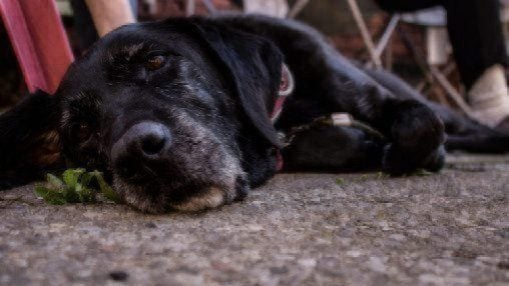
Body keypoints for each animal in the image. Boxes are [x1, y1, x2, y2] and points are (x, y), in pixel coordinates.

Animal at [0, 15, 508, 212]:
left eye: (156, 61)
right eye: (82, 128)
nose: (136, 153)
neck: (285, 114)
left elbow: (420, 125)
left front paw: (401, 154)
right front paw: (362, 147)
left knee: (455, 125)